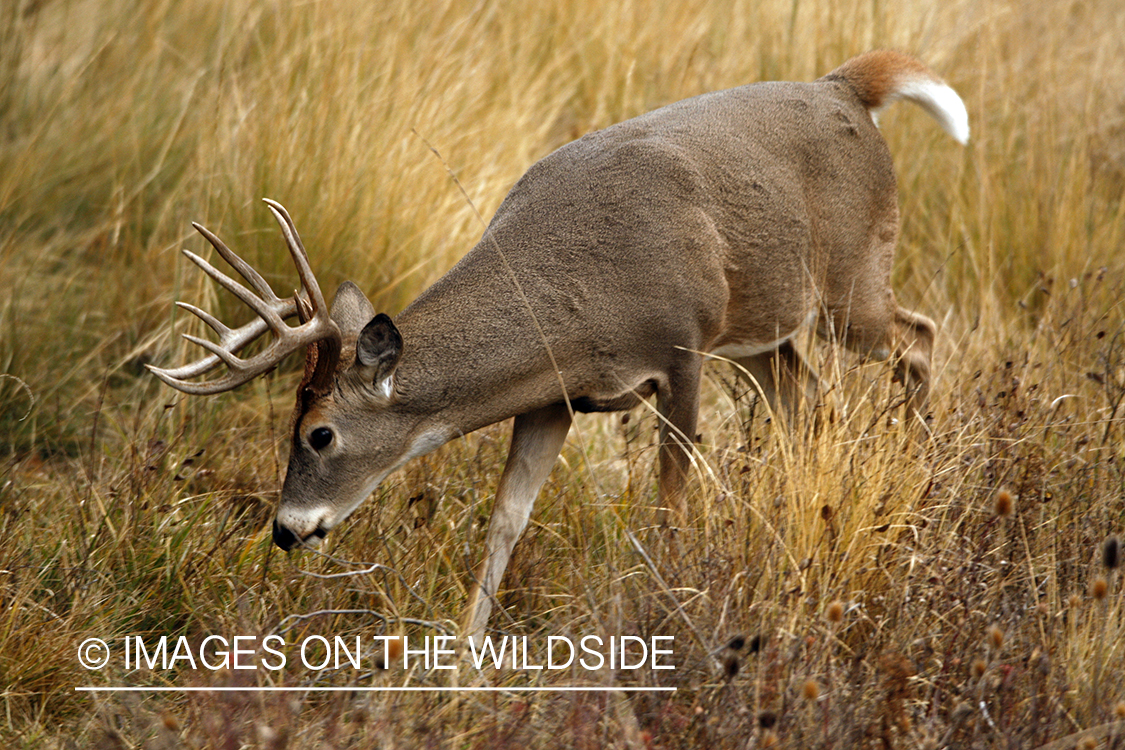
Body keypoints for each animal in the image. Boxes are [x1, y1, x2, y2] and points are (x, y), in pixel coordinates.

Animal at [149, 51, 967, 638]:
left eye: (319, 433)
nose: (287, 531)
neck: (578, 304)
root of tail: (846, 87)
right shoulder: (555, 396)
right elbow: (505, 520)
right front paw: (463, 655)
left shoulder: (680, 348)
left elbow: (670, 502)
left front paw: (669, 612)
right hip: (763, 330)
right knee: (811, 399)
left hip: (848, 283)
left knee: (919, 336)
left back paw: (929, 487)